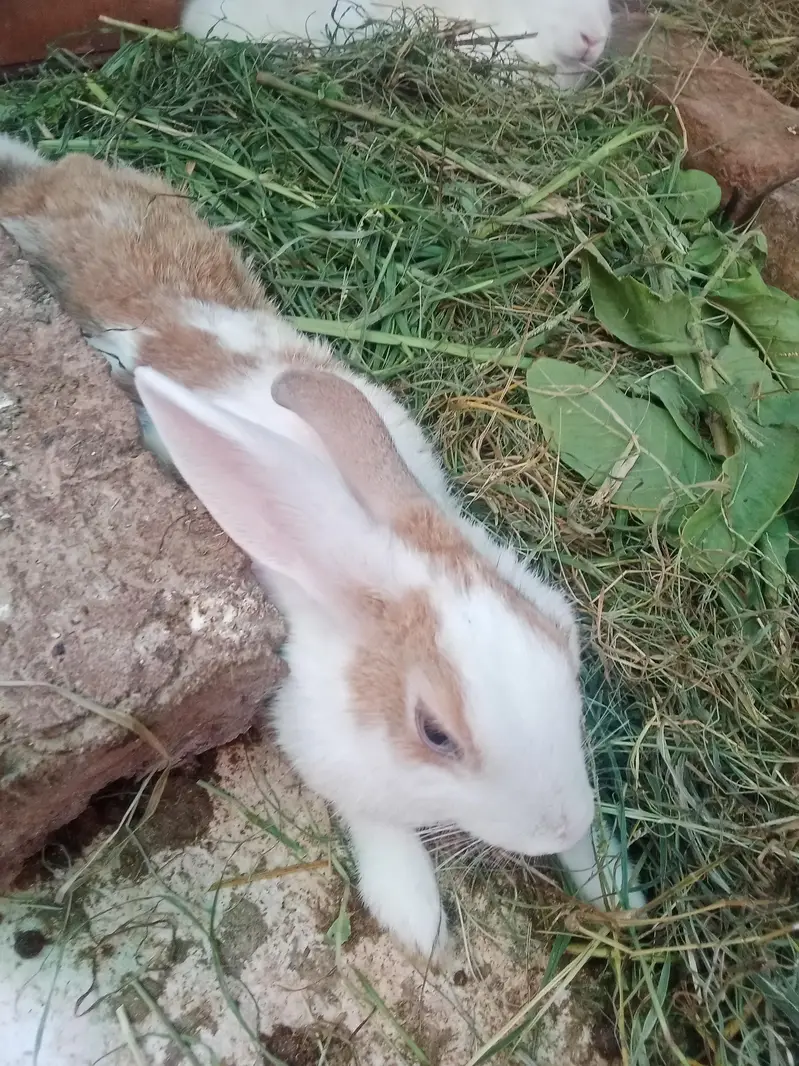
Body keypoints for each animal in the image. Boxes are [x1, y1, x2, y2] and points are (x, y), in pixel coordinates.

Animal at [0, 136, 643, 962]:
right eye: (434, 732)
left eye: (564, 640)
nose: (557, 821)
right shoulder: (314, 737)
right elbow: (379, 826)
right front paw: (420, 924)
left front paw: (613, 885)